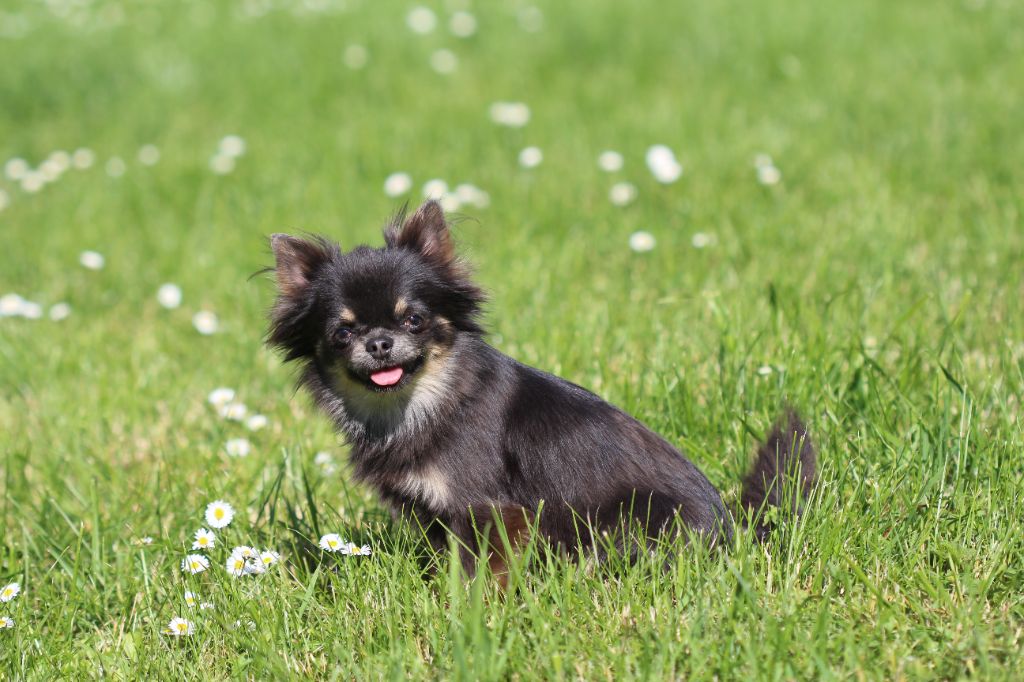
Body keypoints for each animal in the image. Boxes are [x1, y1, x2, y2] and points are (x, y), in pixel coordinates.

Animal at [268, 199, 819, 569]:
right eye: (343, 333)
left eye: (414, 321)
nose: (379, 343)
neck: (424, 402)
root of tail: (732, 526)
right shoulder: (434, 515)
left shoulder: (486, 509)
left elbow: (481, 571)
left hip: (632, 523)